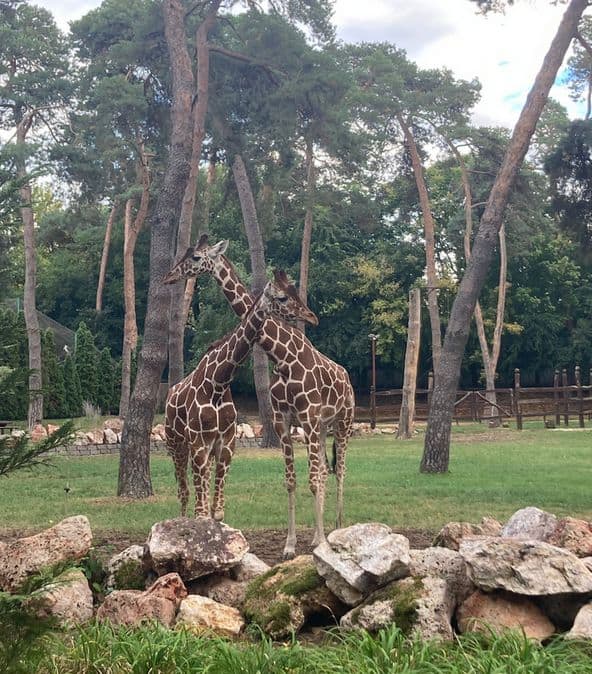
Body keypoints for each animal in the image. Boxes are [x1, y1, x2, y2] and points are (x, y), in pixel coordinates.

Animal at [162, 268, 320, 520]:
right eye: (282, 297)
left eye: (294, 291)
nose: (311, 317)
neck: (218, 383)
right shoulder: (197, 441)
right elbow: (201, 509)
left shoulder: (226, 442)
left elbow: (216, 512)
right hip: (175, 443)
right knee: (184, 491)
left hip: (203, 449)